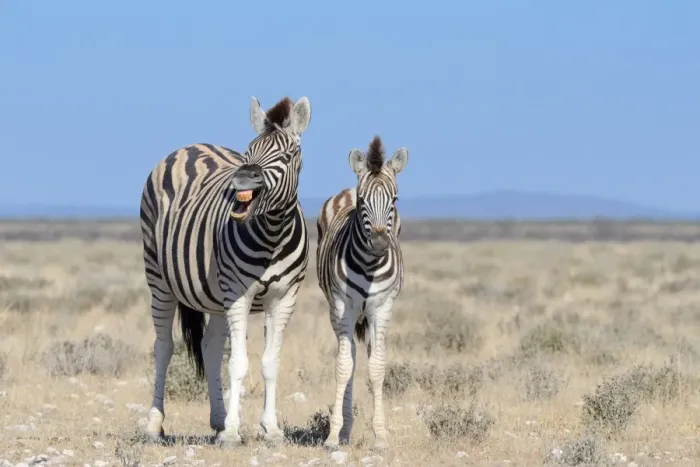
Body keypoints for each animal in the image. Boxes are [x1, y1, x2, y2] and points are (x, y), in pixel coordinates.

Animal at [139, 96, 312, 447]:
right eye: (248, 152)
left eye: (288, 155)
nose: (243, 178)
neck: (272, 234)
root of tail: (189, 146)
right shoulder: (238, 295)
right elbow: (238, 363)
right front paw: (233, 432)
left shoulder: (284, 298)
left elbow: (270, 363)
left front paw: (270, 429)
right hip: (159, 279)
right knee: (163, 348)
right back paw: (154, 425)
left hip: (214, 295)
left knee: (209, 348)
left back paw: (217, 421)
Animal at [316, 135, 409, 451]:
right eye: (362, 201)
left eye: (394, 200)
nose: (379, 243)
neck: (369, 265)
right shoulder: (343, 307)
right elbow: (344, 367)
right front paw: (334, 435)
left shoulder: (383, 308)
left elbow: (377, 367)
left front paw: (380, 436)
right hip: (337, 312)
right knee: (352, 358)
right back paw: (345, 430)